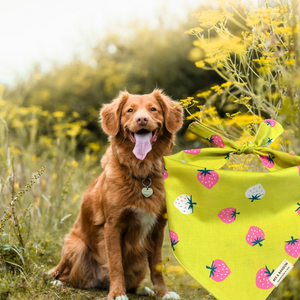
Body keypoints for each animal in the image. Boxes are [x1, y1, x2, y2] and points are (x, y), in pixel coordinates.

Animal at [51, 89, 183, 300]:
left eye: (153, 109)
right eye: (130, 110)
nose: (142, 119)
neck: (142, 173)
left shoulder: (158, 227)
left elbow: (156, 266)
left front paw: (163, 292)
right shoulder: (113, 225)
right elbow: (115, 264)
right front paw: (117, 293)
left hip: (139, 263)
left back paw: (142, 289)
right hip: (75, 246)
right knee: (67, 275)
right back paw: (59, 282)